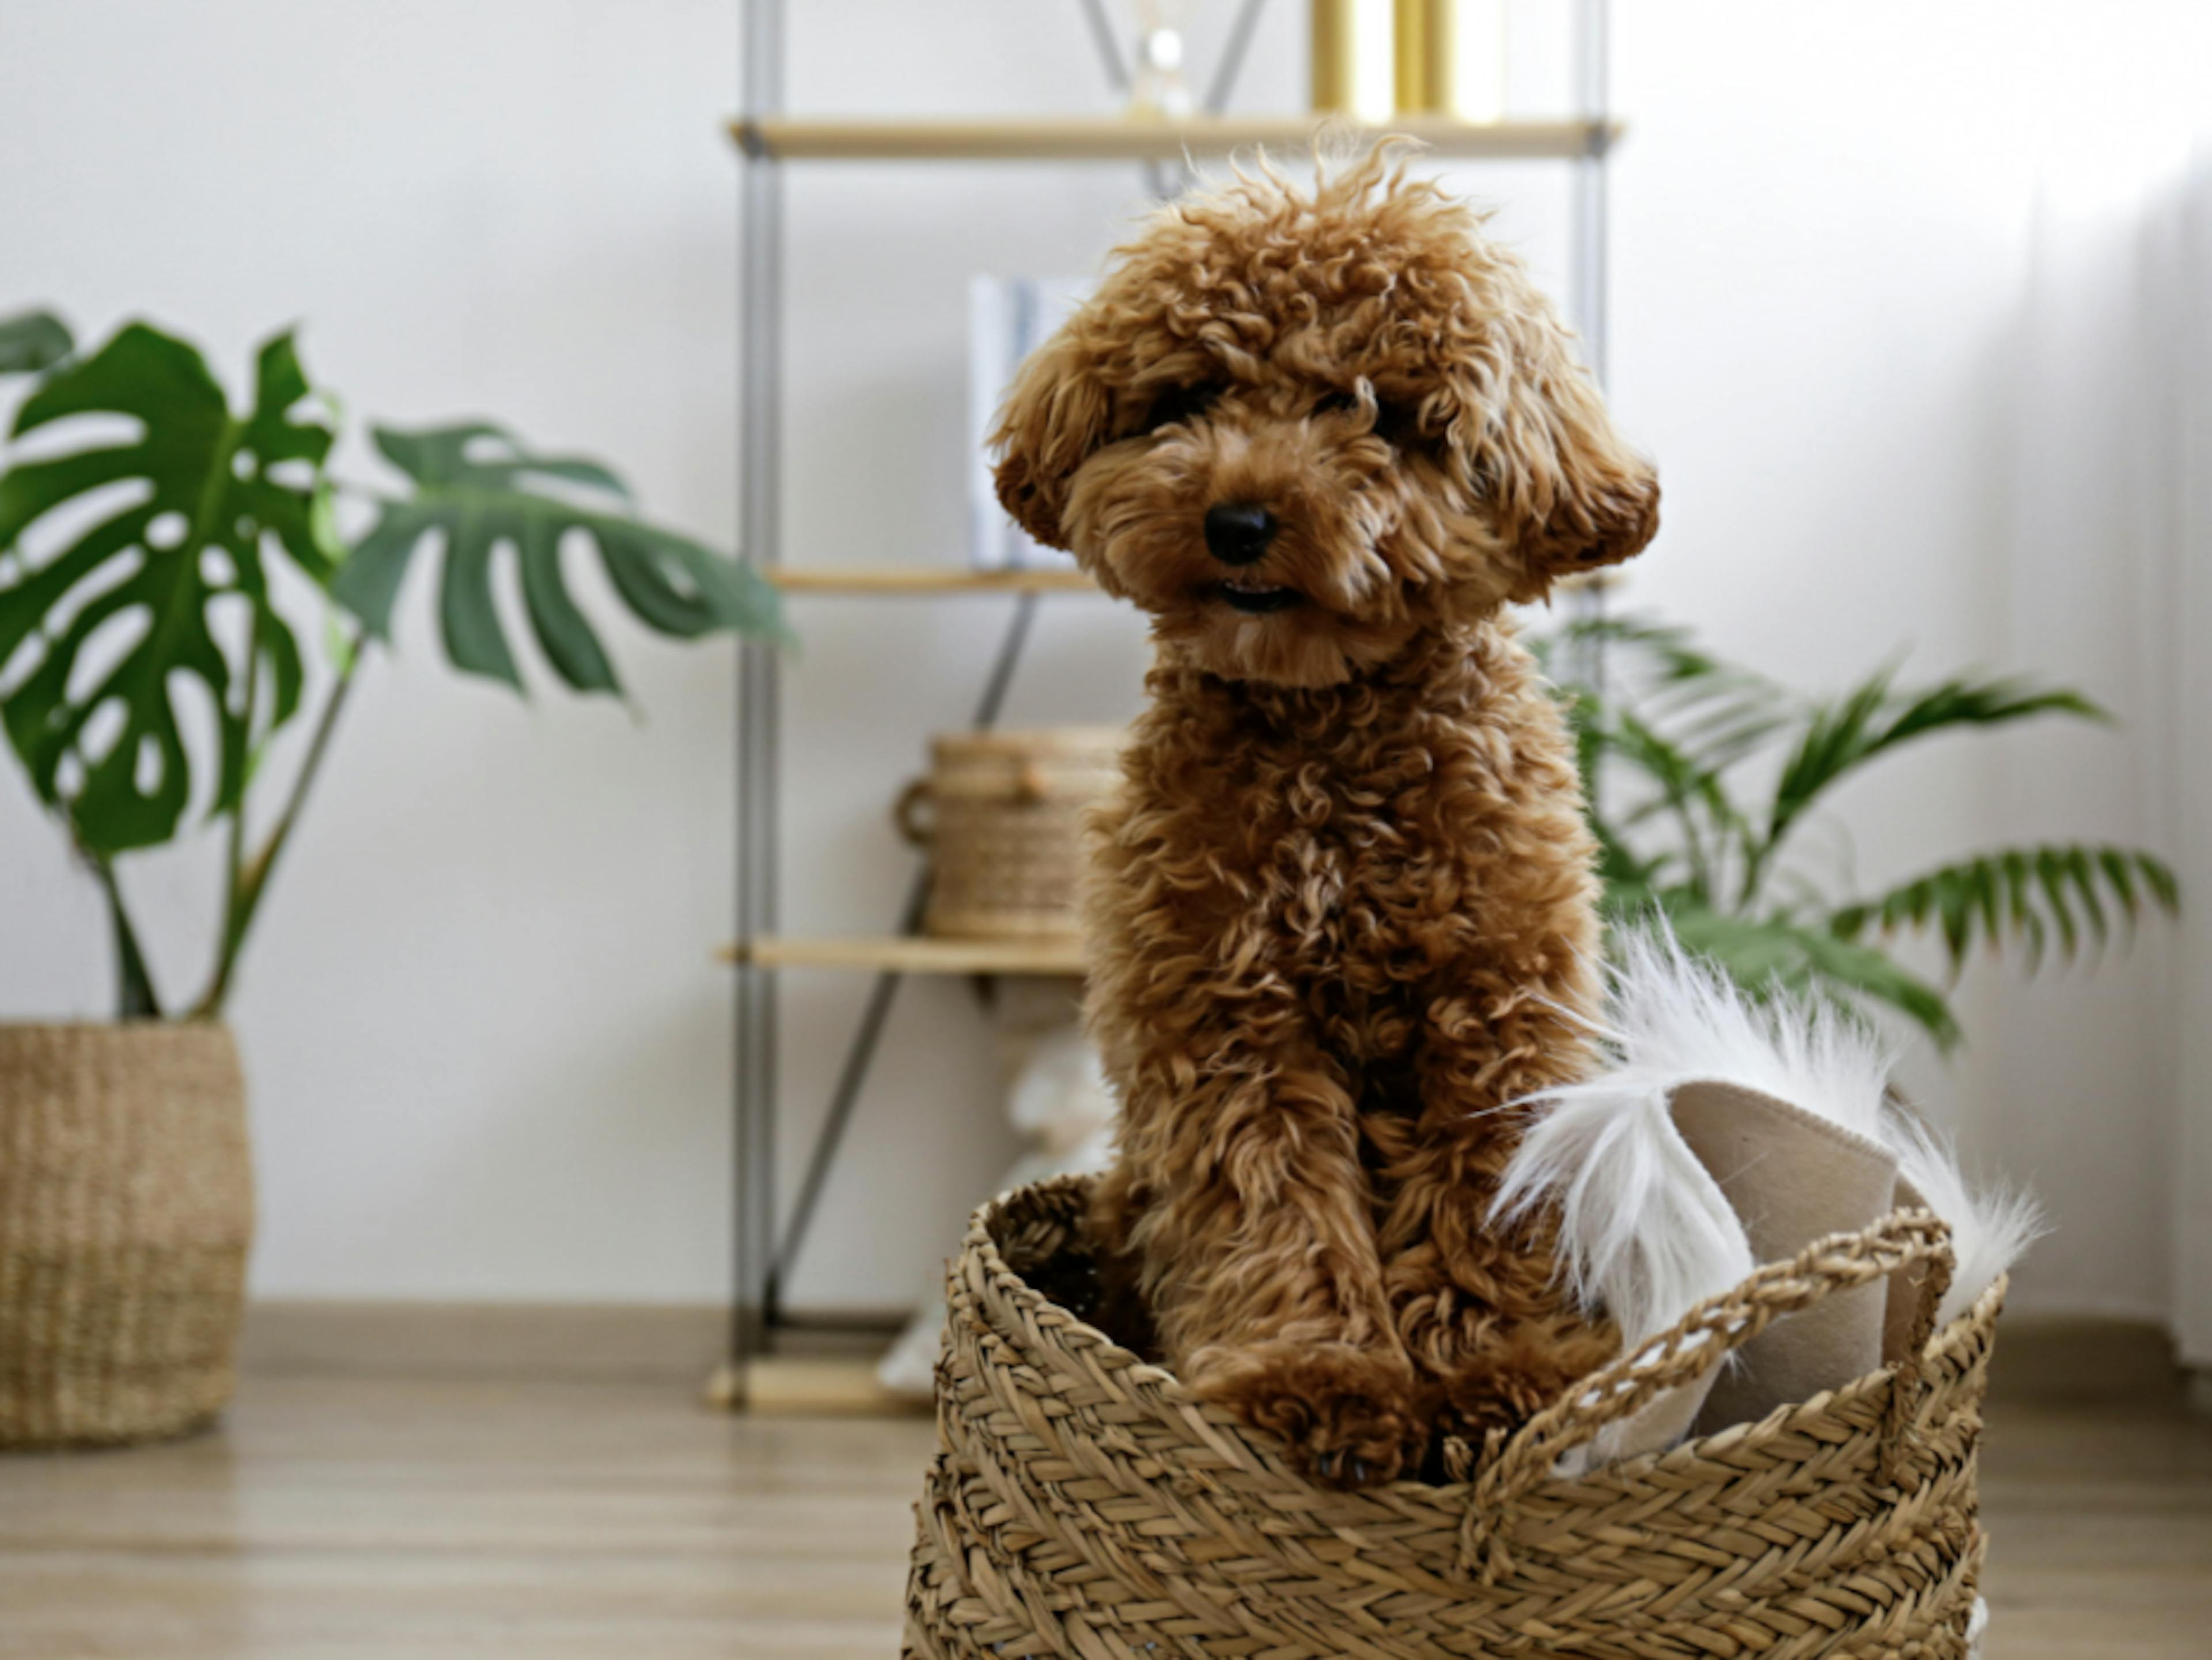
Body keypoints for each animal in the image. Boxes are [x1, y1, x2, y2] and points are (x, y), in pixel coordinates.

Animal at [991, 149, 1663, 1487]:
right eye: (1191, 395)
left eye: (1376, 410)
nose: (1239, 520)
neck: (1328, 735)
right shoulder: (1226, 1019)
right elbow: (1272, 1208)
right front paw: (1317, 1383)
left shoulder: (1494, 1009)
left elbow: (1489, 1200)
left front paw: (1499, 1379)